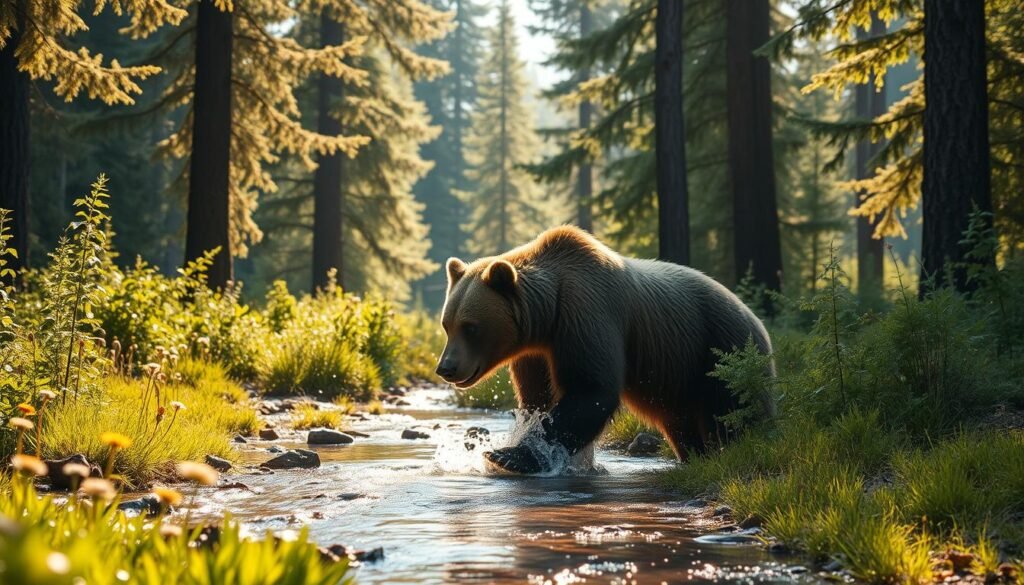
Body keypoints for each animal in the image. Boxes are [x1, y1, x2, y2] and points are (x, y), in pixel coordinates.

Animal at [435, 226, 774, 474]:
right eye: (447, 324)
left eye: (471, 327)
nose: (446, 367)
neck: (548, 317)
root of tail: (757, 320)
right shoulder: (535, 353)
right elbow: (536, 398)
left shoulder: (587, 314)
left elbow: (592, 389)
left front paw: (508, 455)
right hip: (680, 378)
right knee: (682, 424)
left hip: (719, 351)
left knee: (734, 413)